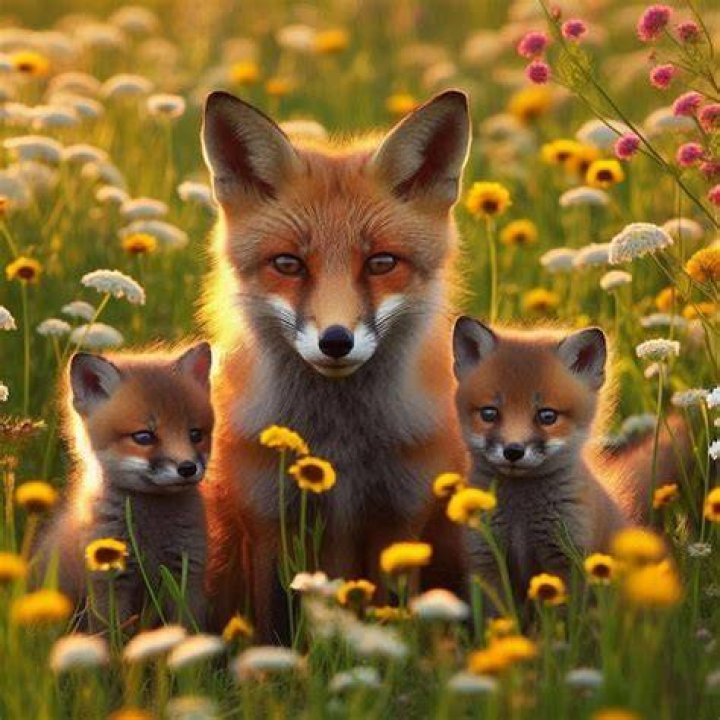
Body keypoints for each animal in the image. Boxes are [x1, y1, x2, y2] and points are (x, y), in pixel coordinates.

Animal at [33, 343, 213, 631]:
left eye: (195, 434)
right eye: (144, 437)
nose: (187, 468)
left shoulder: (188, 575)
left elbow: (188, 633)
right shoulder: (108, 583)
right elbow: (110, 635)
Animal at [199, 89, 472, 640]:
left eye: (381, 263)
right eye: (288, 264)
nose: (336, 342)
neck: (340, 448)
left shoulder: (400, 520)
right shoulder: (270, 522)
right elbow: (276, 628)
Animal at [452, 318, 636, 611]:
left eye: (547, 416)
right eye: (489, 413)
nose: (513, 451)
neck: (520, 520)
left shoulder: (566, 562)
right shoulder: (485, 561)